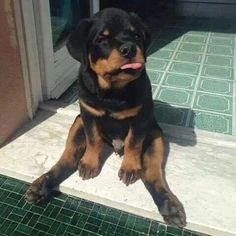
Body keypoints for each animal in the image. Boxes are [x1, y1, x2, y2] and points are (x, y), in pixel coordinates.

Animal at [25, 7, 186, 227]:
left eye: (136, 35)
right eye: (102, 39)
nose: (129, 48)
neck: (113, 91)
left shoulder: (141, 118)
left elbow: (133, 142)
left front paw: (129, 166)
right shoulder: (88, 114)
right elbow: (93, 139)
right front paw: (90, 163)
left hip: (155, 134)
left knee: (152, 174)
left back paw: (169, 206)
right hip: (77, 124)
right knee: (68, 160)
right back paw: (42, 185)